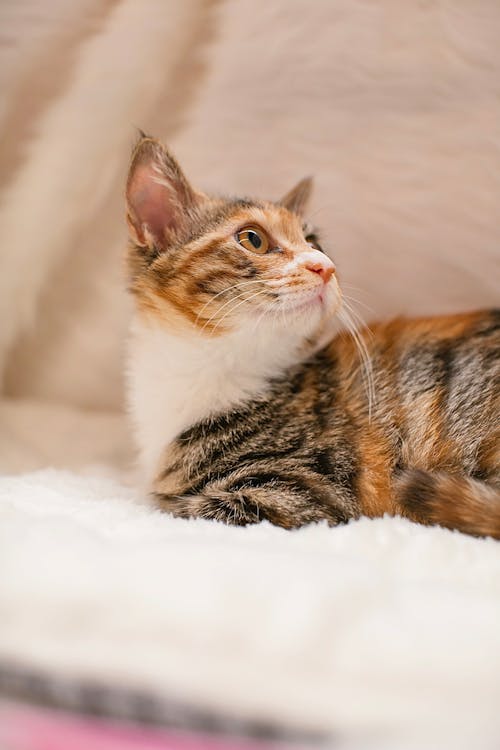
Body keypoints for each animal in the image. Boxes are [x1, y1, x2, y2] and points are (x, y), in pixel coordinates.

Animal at [125, 135, 500, 540]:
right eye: (253, 239)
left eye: (313, 241)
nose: (324, 265)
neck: (212, 364)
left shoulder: (301, 490)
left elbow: (175, 506)